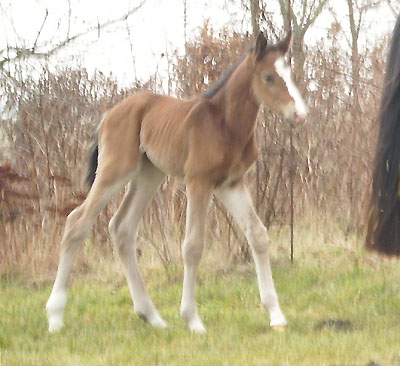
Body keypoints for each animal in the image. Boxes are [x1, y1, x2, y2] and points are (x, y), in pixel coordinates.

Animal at [46, 33, 306, 334]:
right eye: (268, 77)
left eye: (289, 73)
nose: (299, 114)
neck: (226, 124)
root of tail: (107, 115)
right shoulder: (198, 181)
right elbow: (192, 246)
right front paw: (193, 320)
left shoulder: (231, 184)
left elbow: (258, 235)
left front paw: (276, 314)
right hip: (115, 170)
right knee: (76, 222)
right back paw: (55, 316)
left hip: (149, 174)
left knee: (122, 228)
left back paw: (152, 316)